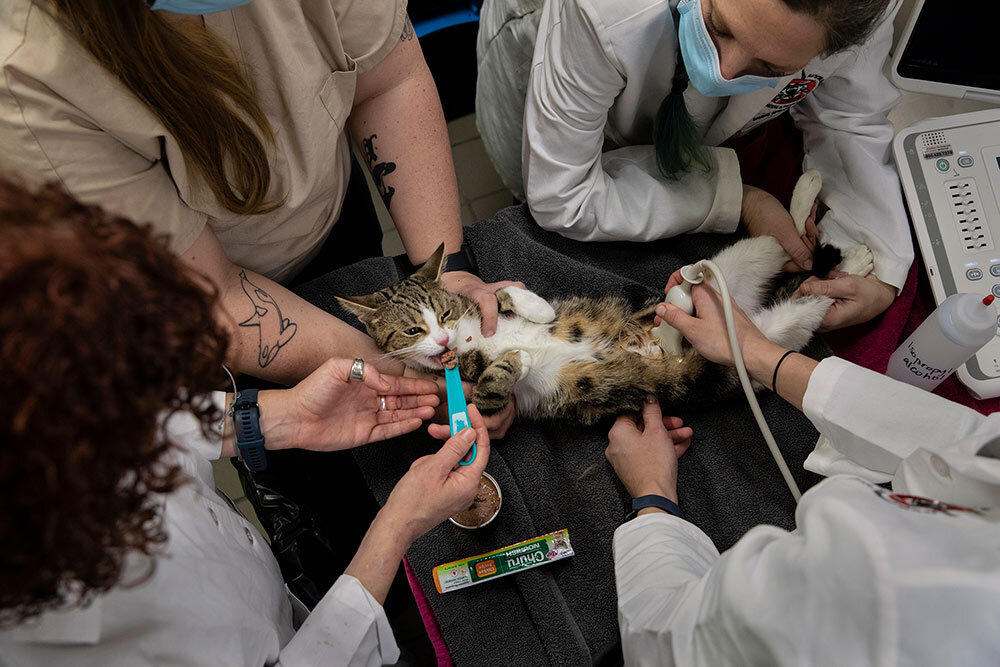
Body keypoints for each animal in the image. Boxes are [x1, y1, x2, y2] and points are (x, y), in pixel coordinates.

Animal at [338, 237, 876, 422]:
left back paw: (852, 257)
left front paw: (530, 306)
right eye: (412, 331)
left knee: (769, 254)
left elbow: (509, 293)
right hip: (744, 352)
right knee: (800, 313)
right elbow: (491, 385)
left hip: (728, 269)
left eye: (444, 314)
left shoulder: (485, 305)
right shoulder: (479, 403)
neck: (472, 338)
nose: (444, 338)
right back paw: (850, 280)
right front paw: (517, 361)